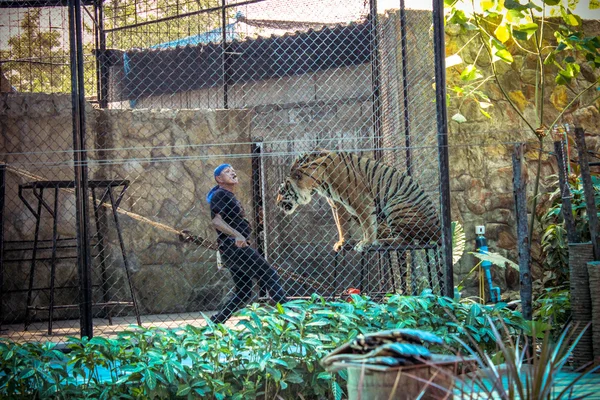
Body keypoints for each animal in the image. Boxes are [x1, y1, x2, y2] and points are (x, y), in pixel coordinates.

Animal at [276, 152, 440, 252]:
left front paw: (365, 243)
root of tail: (438, 227)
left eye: (282, 191)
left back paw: (382, 241)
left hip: (396, 204)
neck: (317, 182)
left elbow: (367, 225)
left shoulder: (361, 202)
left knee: (408, 241)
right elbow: (345, 225)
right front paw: (347, 242)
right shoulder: (340, 205)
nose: (277, 204)